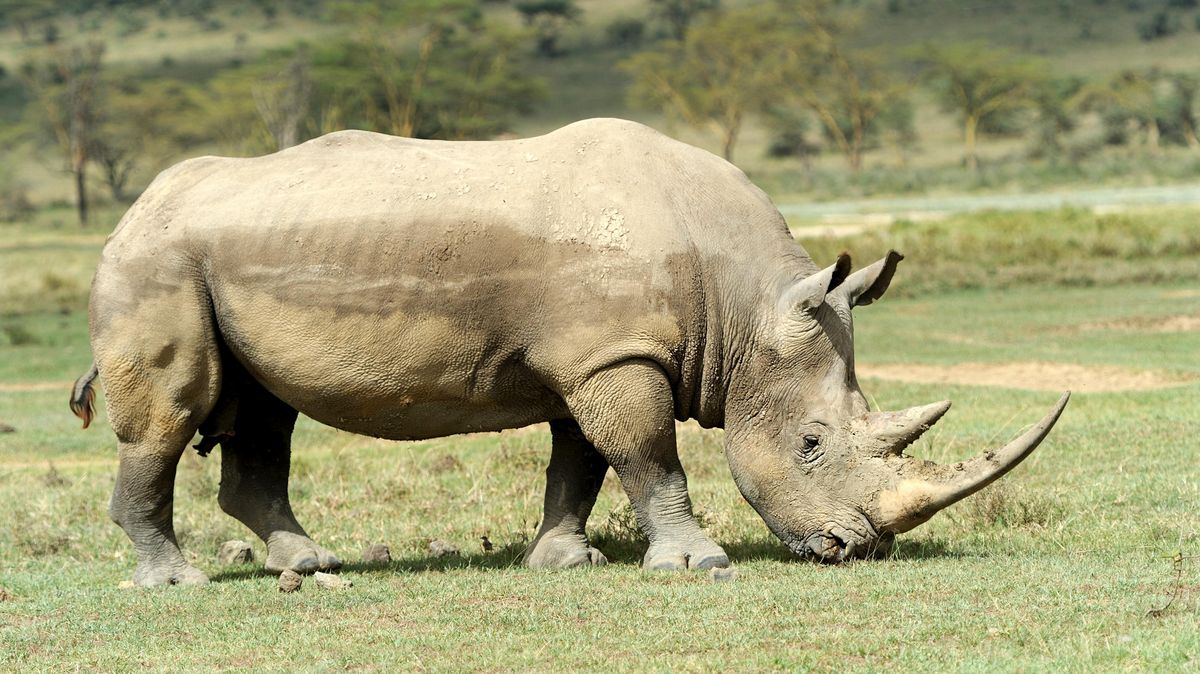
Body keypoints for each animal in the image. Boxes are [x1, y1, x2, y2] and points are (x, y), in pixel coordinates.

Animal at [70, 116, 1065, 582]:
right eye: (812, 444)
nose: (855, 548)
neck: (744, 306)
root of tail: (136, 209)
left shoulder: (598, 358)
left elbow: (582, 464)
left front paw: (562, 562)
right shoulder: (616, 357)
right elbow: (649, 456)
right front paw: (699, 564)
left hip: (223, 256)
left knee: (261, 414)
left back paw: (308, 566)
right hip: (155, 260)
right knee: (173, 415)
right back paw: (178, 581)